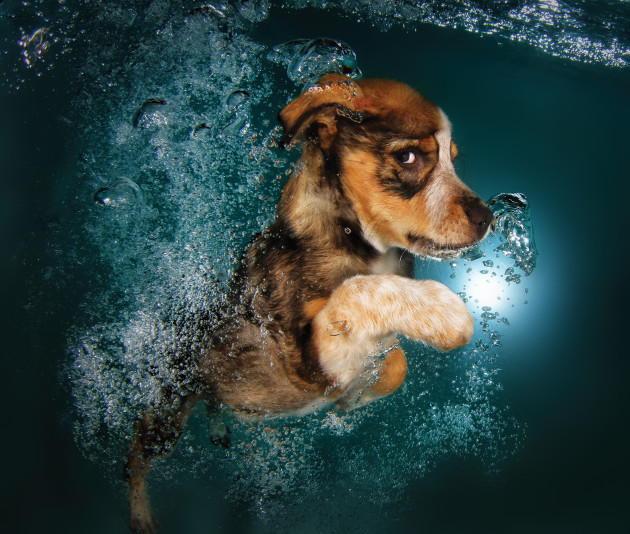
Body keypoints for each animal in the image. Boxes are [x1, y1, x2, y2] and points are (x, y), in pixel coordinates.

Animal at [126, 74, 496, 532]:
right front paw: (440, 313)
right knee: (135, 454)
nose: (487, 219)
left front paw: (354, 398)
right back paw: (141, 515)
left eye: (453, 159)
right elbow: (357, 291)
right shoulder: (302, 360)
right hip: (168, 407)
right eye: (408, 157)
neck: (359, 243)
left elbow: (395, 363)